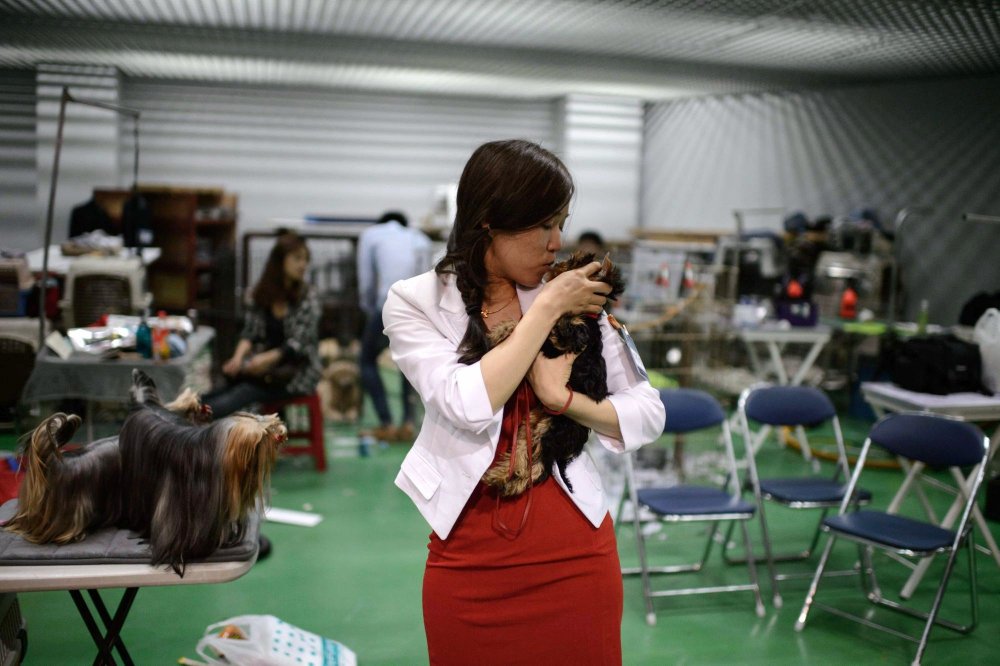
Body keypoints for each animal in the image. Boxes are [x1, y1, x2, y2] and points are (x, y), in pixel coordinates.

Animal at [478, 252, 624, 496]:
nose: (555, 264)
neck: (583, 314)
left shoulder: (570, 338)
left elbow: (551, 333)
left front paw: (504, 330)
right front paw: (503, 330)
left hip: (553, 428)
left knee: (539, 467)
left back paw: (505, 481)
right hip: (533, 425)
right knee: (526, 454)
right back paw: (501, 477)